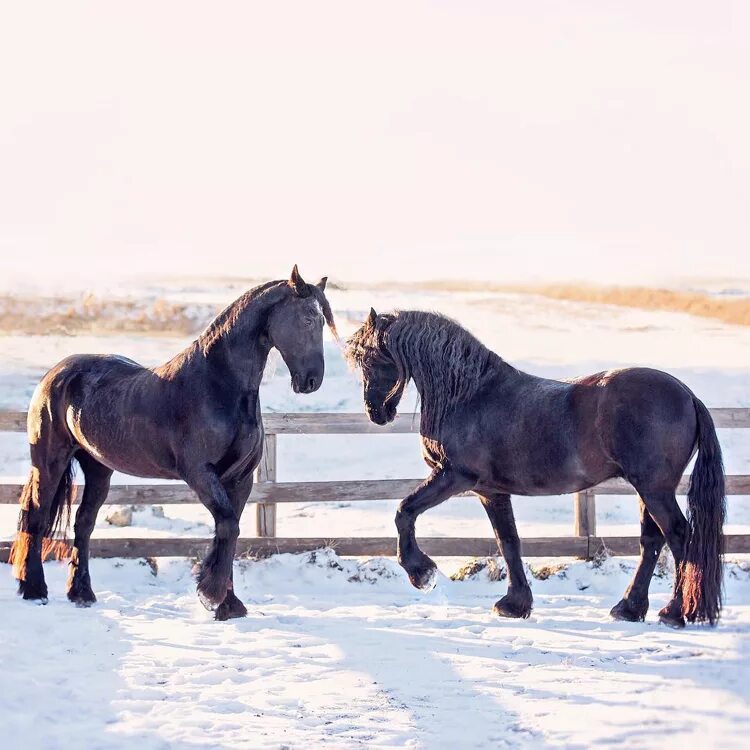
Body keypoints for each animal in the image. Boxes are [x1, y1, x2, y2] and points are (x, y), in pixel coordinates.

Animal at [10, 268, 334, 620]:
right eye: (307, 319)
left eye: (322, 320)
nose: (312, 380)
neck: (218, 386)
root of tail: (55, 374)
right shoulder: (200, 473)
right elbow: (228, 526)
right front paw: (211, 594)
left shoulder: (240, 479)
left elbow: (229, 529)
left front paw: (227, 604)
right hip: (49, 461)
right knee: (36, 517)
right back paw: (34, 590)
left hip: (98, 468)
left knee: (83, 524)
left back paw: (81, 594)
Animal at [348, 308, 728, 632]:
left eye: (371, 357)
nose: (376, 412)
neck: (471, 395)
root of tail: (687, 395)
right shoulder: (491, 491)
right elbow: (508, 541)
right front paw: (515, 604)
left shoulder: (455, 476)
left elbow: (404, 511)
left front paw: (421, 572)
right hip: (648, 488)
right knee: (652, 541)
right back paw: (629, 609)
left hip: (655, 488)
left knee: (678, 535)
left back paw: (674, 613)